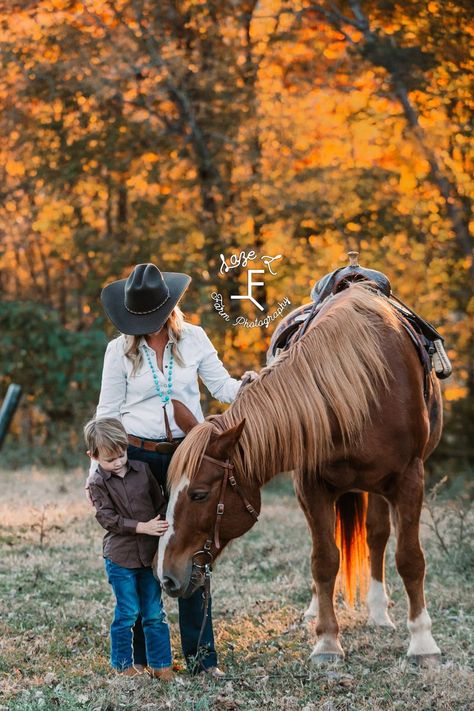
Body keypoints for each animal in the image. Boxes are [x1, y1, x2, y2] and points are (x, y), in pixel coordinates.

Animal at [157, 286, 442, 668]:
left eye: (199, 494)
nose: (166, 576)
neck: (361, 387)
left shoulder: (409, 480)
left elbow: (410, 558)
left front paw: (423, 642)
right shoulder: (311, 487)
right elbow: (324, 561)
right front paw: (327, 643)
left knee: (377, 536)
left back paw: (379, 612)